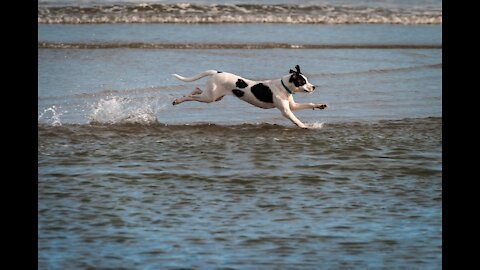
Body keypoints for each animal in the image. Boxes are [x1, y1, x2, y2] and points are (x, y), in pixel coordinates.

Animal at [172, 65, 326, 129]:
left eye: (306, 80)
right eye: (303, 81)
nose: (314, 87)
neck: (283, 87)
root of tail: (217, 72)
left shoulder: (292, 106)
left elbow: (309, 104)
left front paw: (320, 105)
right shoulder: (286, 111)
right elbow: (295, 119)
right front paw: (305, 126)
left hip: (214, 96)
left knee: (197, 90)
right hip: (209, 98)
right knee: (190, 97)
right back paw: (178, 100)